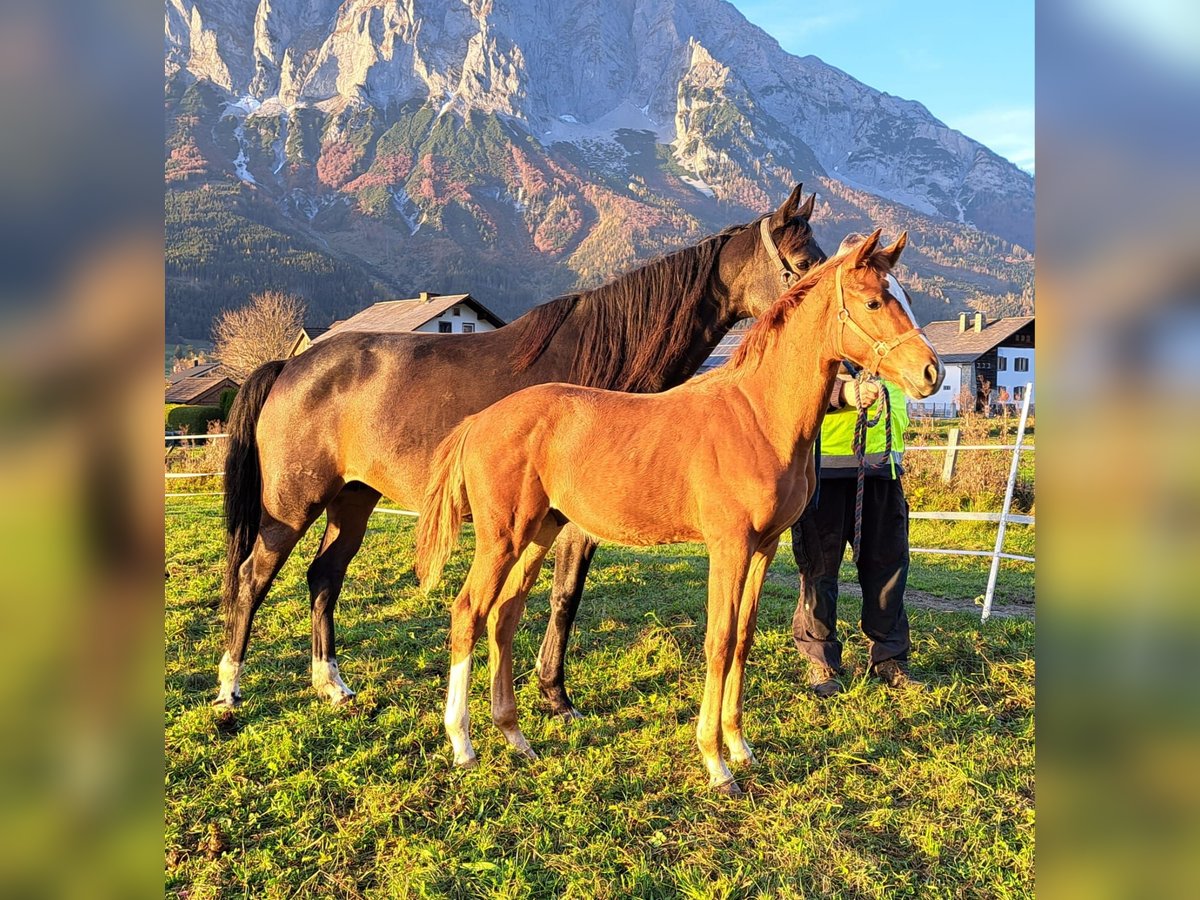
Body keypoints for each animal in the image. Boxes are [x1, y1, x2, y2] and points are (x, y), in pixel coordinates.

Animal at [216, 183, 830, 710]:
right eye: (803, 265)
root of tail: (290, 364)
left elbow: (559, 597)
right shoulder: (575, 521)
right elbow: (564, 597)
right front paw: (556, 694)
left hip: (354, 499)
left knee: (324, 576)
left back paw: (331, 684)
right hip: (291, 504)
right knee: (250, 578)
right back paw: (229, 693)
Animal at [417, 230, 940, 796]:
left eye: (905, 296)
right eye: (874, 301)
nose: (930, 373)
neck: (756, 415)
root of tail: (479, 420)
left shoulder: (763, 548)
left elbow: (743, 639)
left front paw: (741, 748)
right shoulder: (728, 546)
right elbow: (719, 641)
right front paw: (716, 764)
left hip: (539, 532)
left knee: (504, 616)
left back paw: (515, 736)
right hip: (502, 537)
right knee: (468, 612)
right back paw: (463, 745)